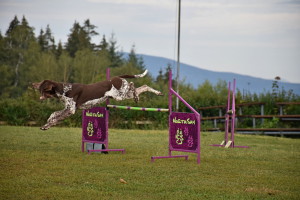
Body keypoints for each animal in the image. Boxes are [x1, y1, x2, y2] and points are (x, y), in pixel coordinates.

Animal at [31, 69, 163, 130]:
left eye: (41, 85)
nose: (32, 84)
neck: (64, 89)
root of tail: (118, 77)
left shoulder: (71, 109)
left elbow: (55, 116)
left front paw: (47, 125)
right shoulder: (68, 109)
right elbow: (54, 115)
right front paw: (47, 124)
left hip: (120, 95)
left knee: (132, 84)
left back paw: (137, 95)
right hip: (124, 95)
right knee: (143, 86)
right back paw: (154, 93)